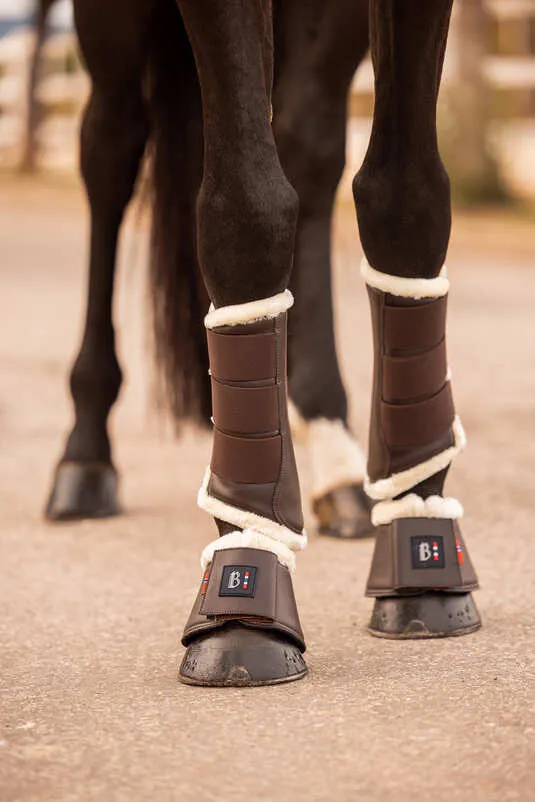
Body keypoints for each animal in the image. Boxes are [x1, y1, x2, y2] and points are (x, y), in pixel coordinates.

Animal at [42, 0, 482, 688]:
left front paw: (422, 537)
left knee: (311, 145)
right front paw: (244, 598)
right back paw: (84, 458)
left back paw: (334, 453)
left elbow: (406, 192)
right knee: (109, 147)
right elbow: (246, 207)